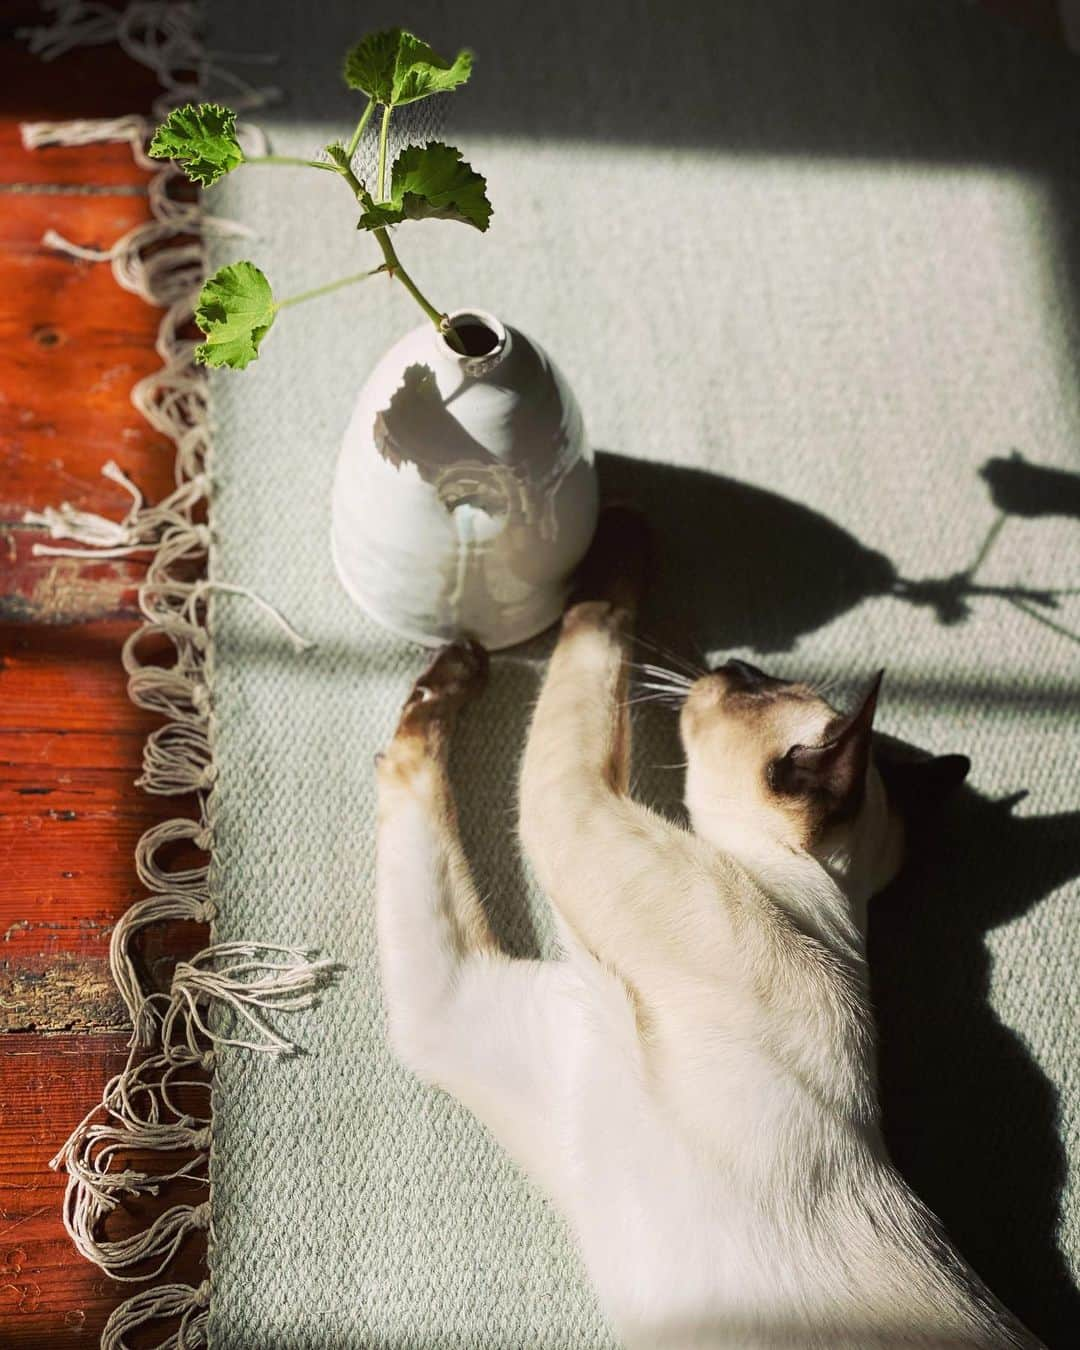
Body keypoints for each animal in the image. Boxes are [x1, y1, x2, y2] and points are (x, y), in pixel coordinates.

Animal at [375, 510, 1042, 1344]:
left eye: (751, 685)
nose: (733, 659)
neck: (811, 902)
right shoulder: (454, 1004)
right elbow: (417, 769)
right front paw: (451, 671)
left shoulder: (576, 807)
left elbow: (592, 630)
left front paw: (614, 537)